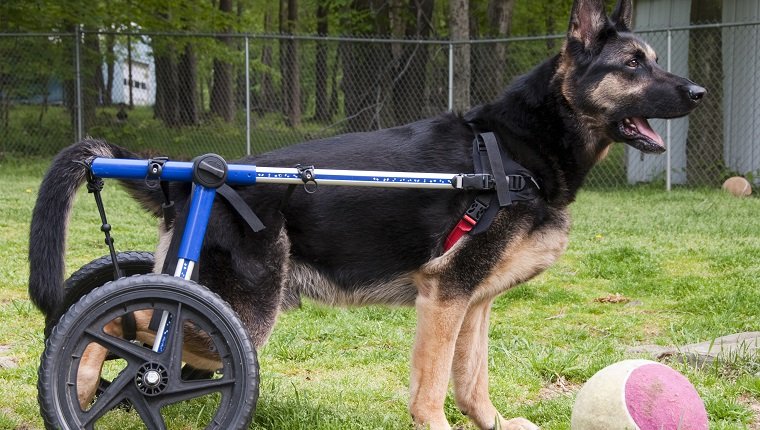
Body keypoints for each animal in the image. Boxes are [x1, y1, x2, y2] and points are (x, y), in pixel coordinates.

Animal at [29, 0, 708, 428]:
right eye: (634, 64)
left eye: (651, 58)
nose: (700, 93)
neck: (514, 149)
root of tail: (192, 174)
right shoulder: (444, 298)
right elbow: (431, 389)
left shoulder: (474, 304)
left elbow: (472, 381)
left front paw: (493, 423)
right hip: (238, 315)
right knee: (124, 330)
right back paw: (82, 387)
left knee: (119, 315)